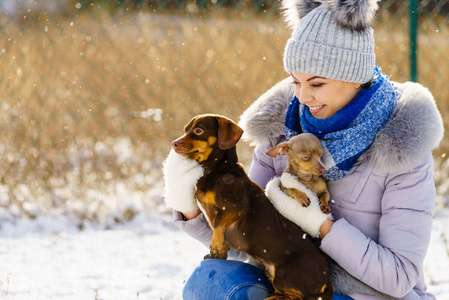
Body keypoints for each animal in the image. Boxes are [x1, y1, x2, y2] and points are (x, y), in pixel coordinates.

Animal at [170, 113, 330, 298]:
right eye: (185, 130)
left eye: (198, 130)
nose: (174, 143)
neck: (219, 170)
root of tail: (327, 282)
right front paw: (217, 253)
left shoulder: (233, 207)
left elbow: (217, 224)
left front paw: (216, 246)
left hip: (284, 276)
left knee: (293, 296)